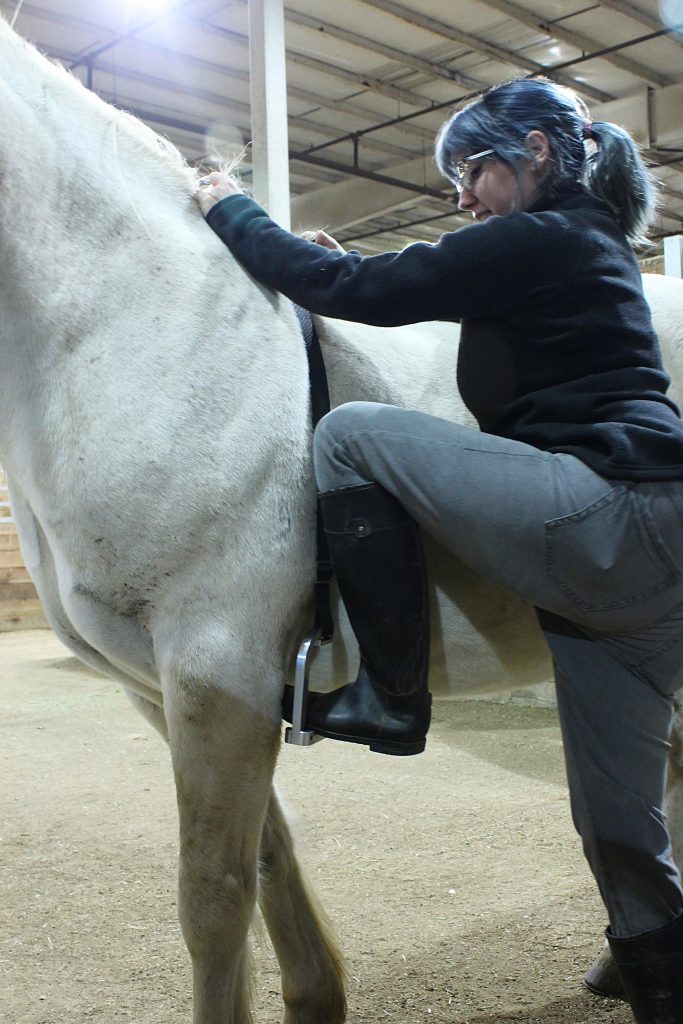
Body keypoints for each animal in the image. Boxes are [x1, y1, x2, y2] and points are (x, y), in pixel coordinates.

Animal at [1, 14, 683, 1015]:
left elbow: (212, 901)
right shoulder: (174, 687)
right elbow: (267, 860)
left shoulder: (216, 665)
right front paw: (317, 997)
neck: (130, 327)